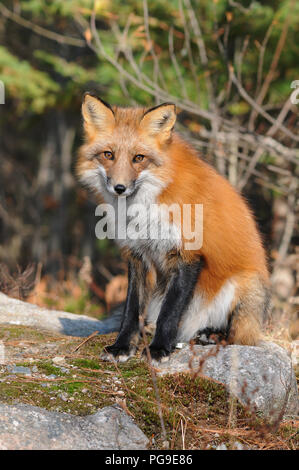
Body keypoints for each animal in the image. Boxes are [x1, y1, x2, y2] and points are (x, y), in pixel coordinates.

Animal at [75, 92, 272, 364]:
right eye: (108, 155)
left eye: (139, 158)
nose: (119, 188)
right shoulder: (137, 256)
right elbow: (130, 311)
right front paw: (122, 347)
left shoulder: (188, 255)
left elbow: (169, 313)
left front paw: (159, 349)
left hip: (244, 287)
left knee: (239, 337)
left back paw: (211, 335)